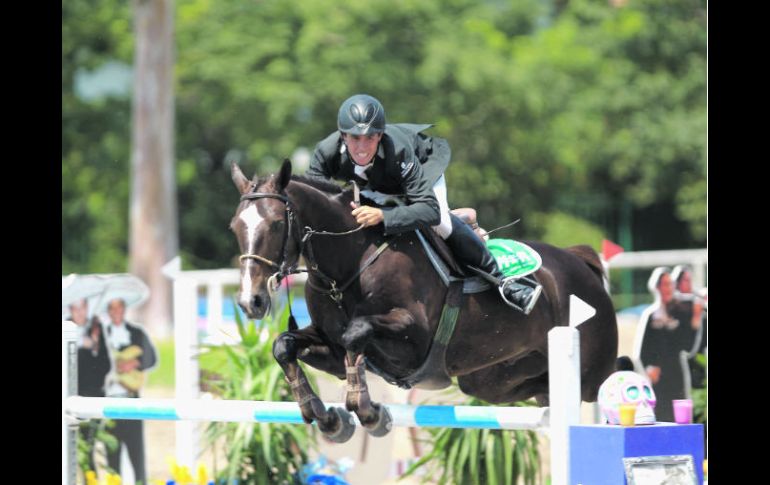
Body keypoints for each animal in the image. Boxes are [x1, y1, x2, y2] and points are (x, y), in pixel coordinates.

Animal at [230, 161, 616, 440]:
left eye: (276, 224)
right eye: (235, 226)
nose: (251, 302)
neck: (348, 266)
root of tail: (578, 260)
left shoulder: (413, 339)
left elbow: (357, 331)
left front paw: (369, 414)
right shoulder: (334, 349)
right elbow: (285, 345)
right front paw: (326, 418)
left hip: (591, 375)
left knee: (605, 384)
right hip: (490, 381)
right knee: (540, 391)